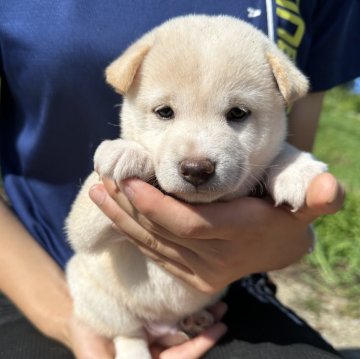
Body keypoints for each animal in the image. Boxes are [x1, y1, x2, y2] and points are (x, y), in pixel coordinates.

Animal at [66, 15, 328, 358]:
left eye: (238, 113)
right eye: (165, 112)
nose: (196, 169)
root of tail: (163, 327)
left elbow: (279, 152)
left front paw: (297, 169)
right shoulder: (83, 229)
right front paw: (126, 150)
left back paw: (196, 320)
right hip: (100, 300)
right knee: (128, 334)